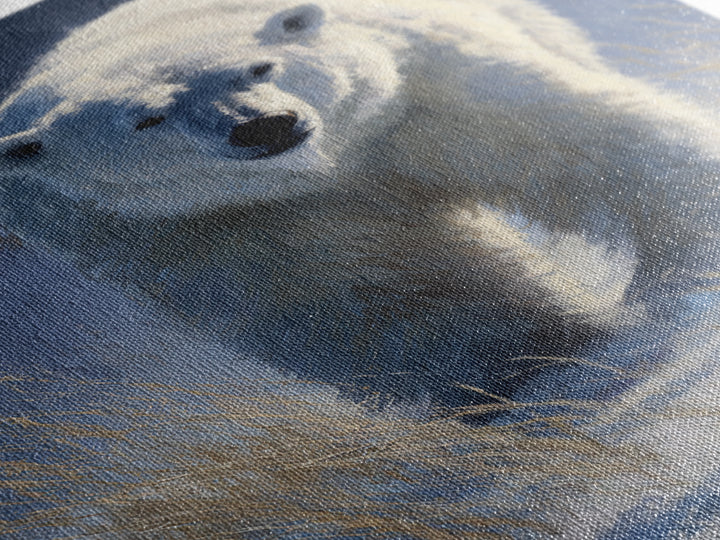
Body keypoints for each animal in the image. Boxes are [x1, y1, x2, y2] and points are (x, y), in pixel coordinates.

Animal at [1, 0, 720, 537]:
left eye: (256, 66)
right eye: (147, 119)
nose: (265, 126)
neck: (329, 165)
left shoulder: (412, 88)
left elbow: (579, 144)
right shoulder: (185, 226)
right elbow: (386, 294)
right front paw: (539, 363)